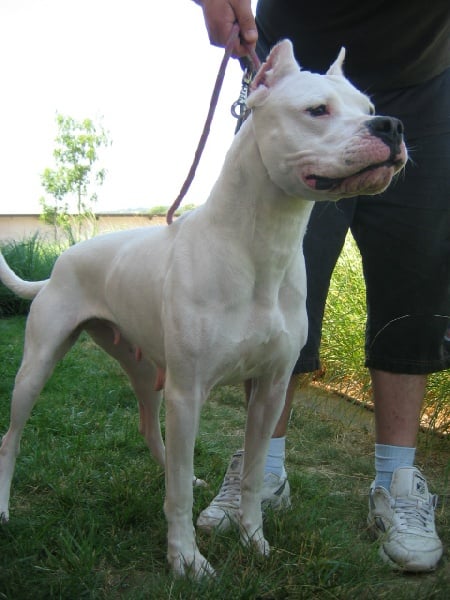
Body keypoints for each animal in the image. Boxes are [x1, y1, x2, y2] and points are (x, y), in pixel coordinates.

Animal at [0, 40, 407, 577]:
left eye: (367, 106)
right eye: (317, 110)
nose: (391, 125)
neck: (261, 247)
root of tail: (61, 260)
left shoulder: (270, 391)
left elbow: (252, 476)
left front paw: (253, 538)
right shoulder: (189, 392)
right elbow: (179, 491)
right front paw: (186, 559)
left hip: (144, 370)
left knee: (151, 430)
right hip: (39, 367)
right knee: (12, 437)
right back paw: (4, 508)